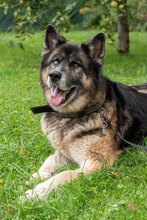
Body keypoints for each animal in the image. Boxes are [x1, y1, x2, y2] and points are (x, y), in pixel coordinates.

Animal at [21, 24, 147, 200]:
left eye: (76, 65)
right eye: (55, 62)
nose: (53, 75)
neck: (73, 116)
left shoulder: (95, 163)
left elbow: (63, 174)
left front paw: (37, 192)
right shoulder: (63, 153)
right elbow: (48, 161)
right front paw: (35, 177)